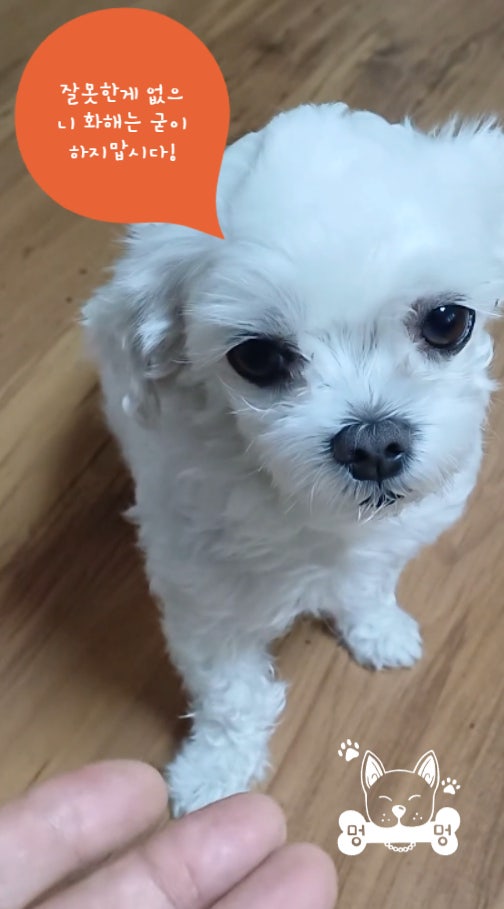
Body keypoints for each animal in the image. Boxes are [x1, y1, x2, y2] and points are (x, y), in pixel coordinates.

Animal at [83, 103, 503, 815]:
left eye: (448, 321)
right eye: (256, 357)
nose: (373, 444)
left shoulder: (385, 543)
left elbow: (368, 585)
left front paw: (377, 628)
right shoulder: (206, 602)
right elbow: (233, 696)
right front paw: (216, 770)